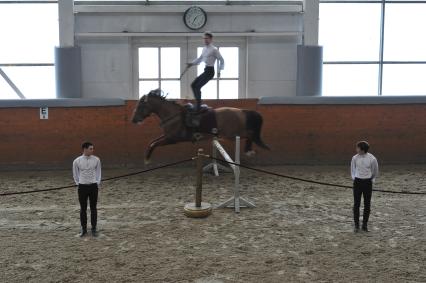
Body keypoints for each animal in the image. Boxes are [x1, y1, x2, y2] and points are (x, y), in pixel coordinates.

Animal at [131, 89, 270, 164]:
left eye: (141, 106)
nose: (134, 120)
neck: (173, 115)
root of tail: (241, 111)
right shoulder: (167, 136)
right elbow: (151, 142)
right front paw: (146, 157)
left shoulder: (172, 139)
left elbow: (154, 144)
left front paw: (147, 159)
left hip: (232, 134)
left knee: (249, 134)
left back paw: (249, 150)